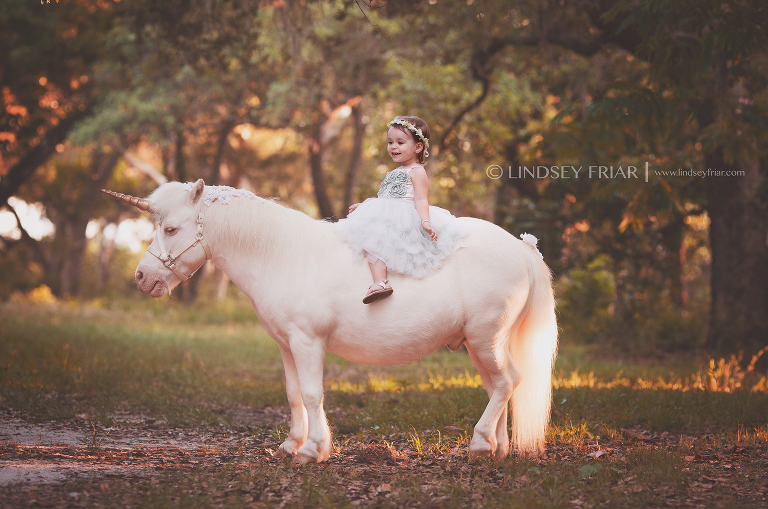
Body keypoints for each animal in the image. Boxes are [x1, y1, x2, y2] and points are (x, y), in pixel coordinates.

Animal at [103, 179, 560, 460]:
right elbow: (293, 394)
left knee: (507, 382)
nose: (141, 277)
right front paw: (292, 445)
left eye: (172, 229)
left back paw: (481, 444)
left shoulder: (308, 342)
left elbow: (311, 394)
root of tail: (523, 247)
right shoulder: (286, 345)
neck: (282, 254)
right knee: (500, 386)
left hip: (485, 339)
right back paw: (497, 448)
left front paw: (313, 451)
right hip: (480, 345)